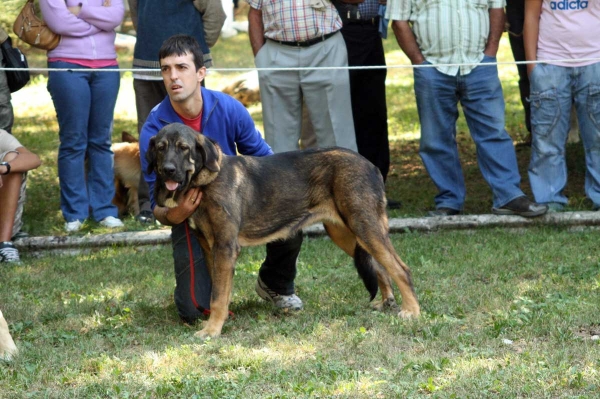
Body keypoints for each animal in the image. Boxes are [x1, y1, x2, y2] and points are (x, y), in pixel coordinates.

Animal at [147, 123, 420, 340]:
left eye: (184, 147)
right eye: (160, 147)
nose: (168, 170)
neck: (204, 182)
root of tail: (371, 165)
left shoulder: (225, 247)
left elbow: (217, 296)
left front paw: (212, 330)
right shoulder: (209, 248)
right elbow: (218, 292)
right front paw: (216, 322)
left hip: (364, 226)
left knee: (401, 269)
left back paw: (412, 311)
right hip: (347, 233)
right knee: (382, 267)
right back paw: (387, 302)